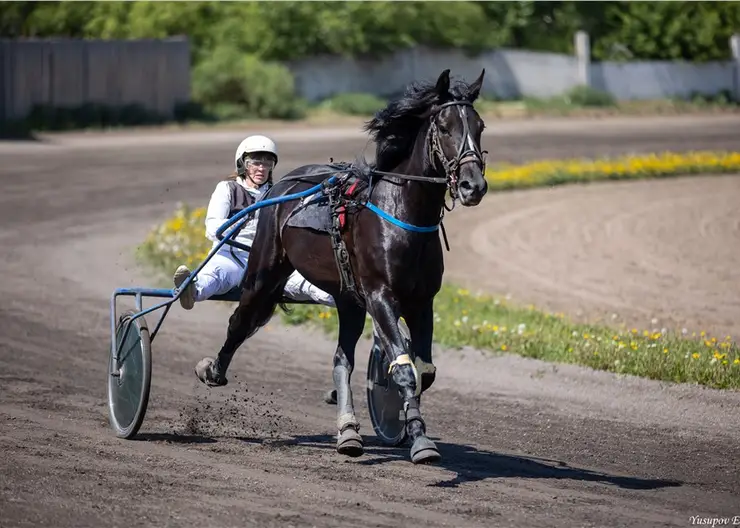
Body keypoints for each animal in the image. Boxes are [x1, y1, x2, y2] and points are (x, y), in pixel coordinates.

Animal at [195, 68, 492, 464]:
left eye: (479, 125)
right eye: (444, 127)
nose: (473, 186)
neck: (402, 215)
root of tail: (284, 183)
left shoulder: (421, 302)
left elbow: (423, 370)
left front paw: (408, 426)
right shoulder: (380, 295)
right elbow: (404, 369)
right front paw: (421, 441)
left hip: (347, 297)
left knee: (341, 360)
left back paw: (348, 429)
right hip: (264, 273)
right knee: (240, 322)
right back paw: (213, 369)